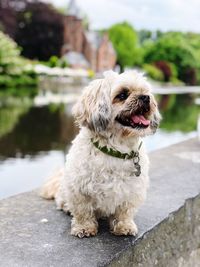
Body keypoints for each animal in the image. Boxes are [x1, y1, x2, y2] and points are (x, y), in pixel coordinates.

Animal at [41, 70, 161, 239]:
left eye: (146, 92)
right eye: (122, 95)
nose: (145, 97)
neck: (116, 150)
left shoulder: (131, 191)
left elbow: (124, 212)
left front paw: (124, 226)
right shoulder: (79, 190)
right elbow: (83, 211)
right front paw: (84, 228)